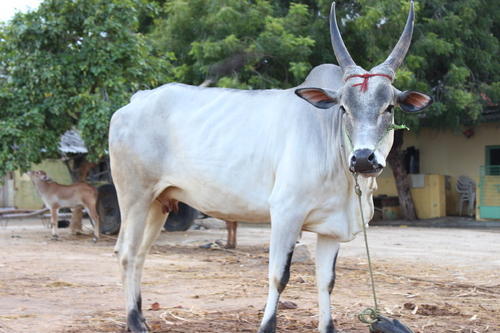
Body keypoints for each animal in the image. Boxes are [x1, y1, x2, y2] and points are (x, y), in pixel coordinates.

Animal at [110, 1, 434, 330]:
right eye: (344, 108)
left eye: (389, 107)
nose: (364, 158)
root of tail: (137, 100)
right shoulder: (285, 214)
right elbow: (279, 276)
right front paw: (267, 325)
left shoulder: (331, 228)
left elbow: (326, 281)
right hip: (134, 197)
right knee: (126, 252)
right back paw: (134, 321)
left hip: (159, 202)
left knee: (141, 254)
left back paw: (140, 317)